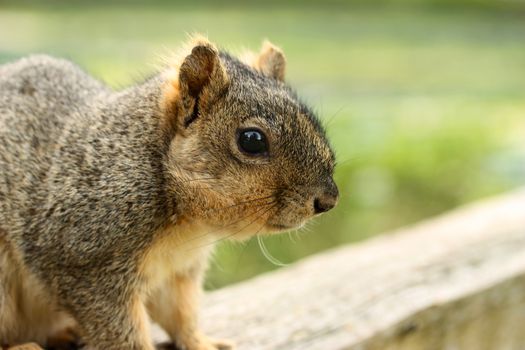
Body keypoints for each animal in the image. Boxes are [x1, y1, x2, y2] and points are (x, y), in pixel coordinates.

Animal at [0, 36, 338, 350]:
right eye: (251, 140)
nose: (328, 200)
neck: (186, 224)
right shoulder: (86, 262)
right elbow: (119, 329)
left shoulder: (177, 272)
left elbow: (180, 314)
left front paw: (201, 343)